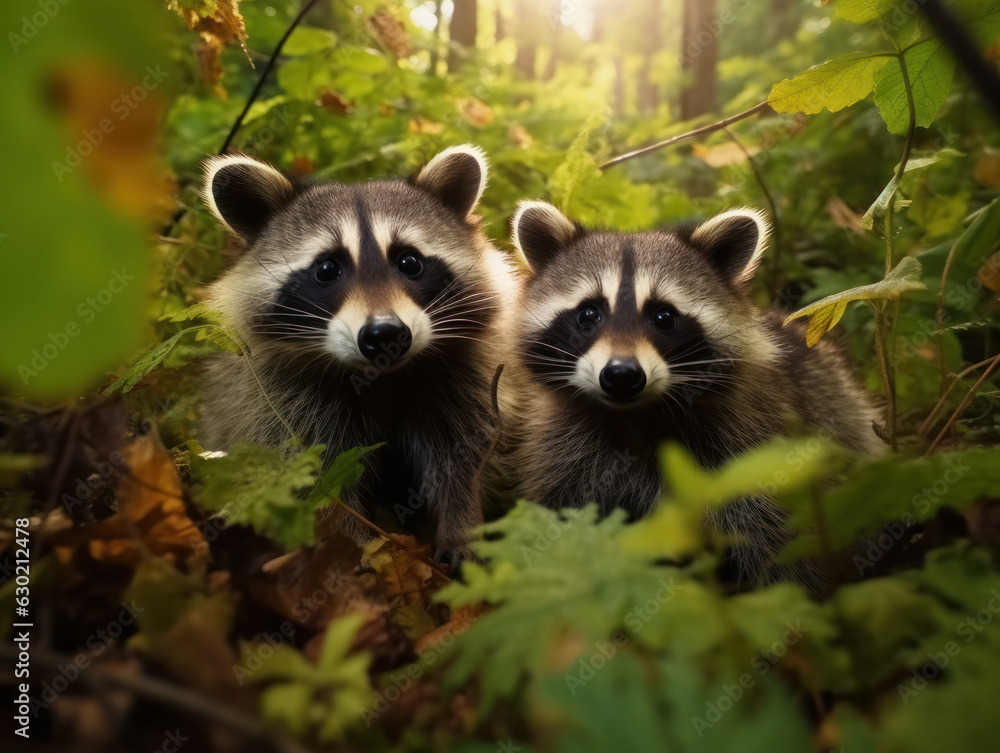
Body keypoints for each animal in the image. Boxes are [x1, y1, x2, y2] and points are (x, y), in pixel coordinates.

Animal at [199, 146, 517, 560]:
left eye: (409, 262)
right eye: (326, 269)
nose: (385, 335)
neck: (382, 376)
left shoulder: (461, 383)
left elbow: (461, 459)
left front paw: (462, 526)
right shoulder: (284, 402)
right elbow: (326, 476)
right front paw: (351, 546)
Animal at [501, 201, 882, 581]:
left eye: (664, 317)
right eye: (588, 314)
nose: (621, 375)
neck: (634, 418)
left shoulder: (754, 451)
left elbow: (782, 550)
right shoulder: (564, 453)